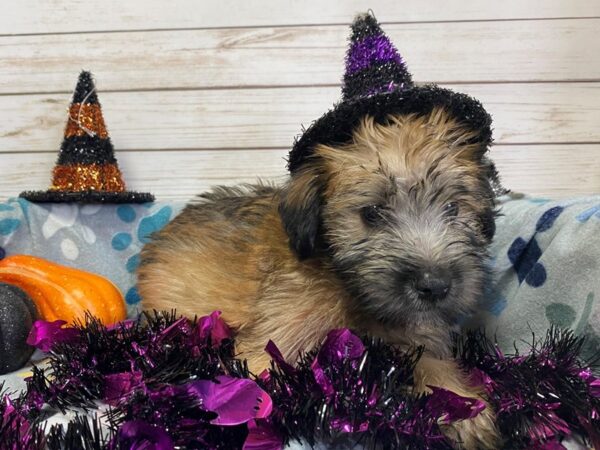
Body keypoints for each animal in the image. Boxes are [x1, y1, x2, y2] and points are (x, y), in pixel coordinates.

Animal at [138, 108, 500, 446]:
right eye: (371, 213)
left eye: (453, 208)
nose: (434, 285)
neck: (351, 292)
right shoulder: (277, 338)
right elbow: (256, 378)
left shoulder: (418, 337)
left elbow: (436, 367)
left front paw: (465, 410)